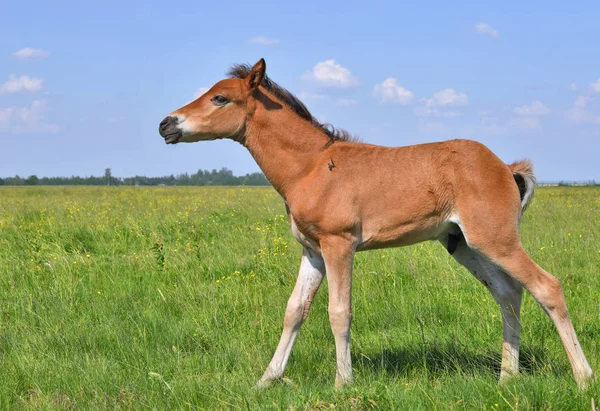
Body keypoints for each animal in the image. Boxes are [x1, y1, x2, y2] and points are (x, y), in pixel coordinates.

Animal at [159, 58, 596, 390]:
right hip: (464, 245)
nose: (166, 124)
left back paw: (583, 377)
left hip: (496, 238)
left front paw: (342, 383)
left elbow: (339, 312)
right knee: (509, 293)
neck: (312, 167)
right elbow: (295, 310)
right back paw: (507, 377)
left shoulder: (339, 245)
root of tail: (505, 167)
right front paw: (266, 381)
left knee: (546, 287)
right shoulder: (312, 251)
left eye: (220, 98)